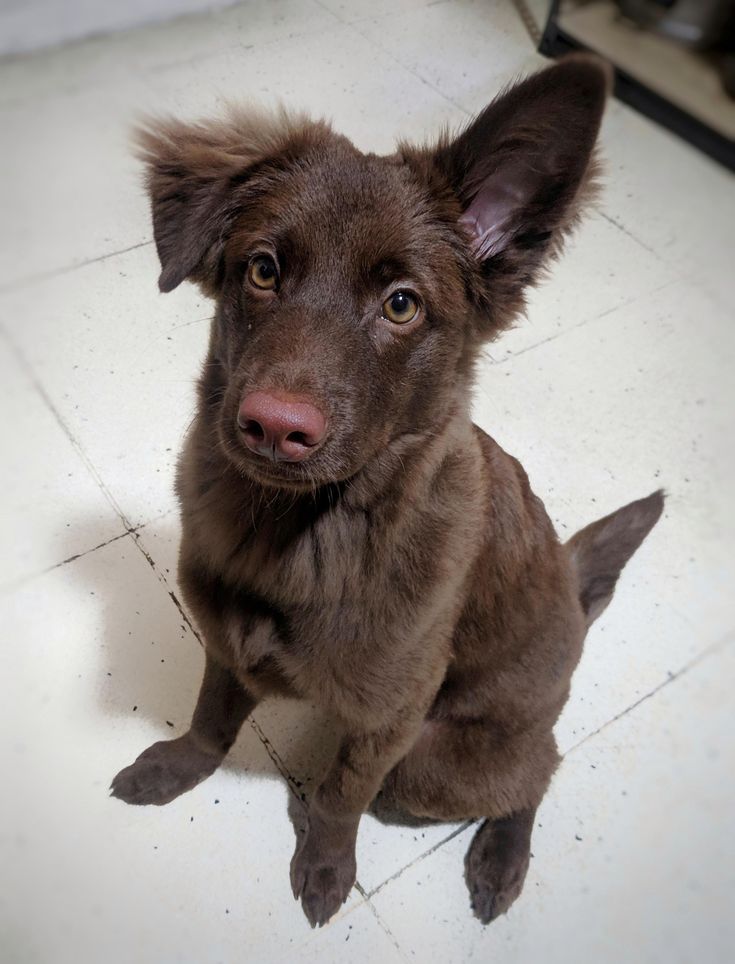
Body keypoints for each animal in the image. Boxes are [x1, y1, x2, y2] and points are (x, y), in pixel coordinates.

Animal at [110, 58, 668, 928]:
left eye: (401, 304)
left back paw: (500, 858)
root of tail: (579, 607)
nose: (274, 426)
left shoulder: (391, 720)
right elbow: (208, 719)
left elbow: (342, 794)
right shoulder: (225, 640)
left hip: (438, 760)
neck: (302, 534)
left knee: (540, 769)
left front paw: (326, 866)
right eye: (262, 269)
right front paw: (175, 769)